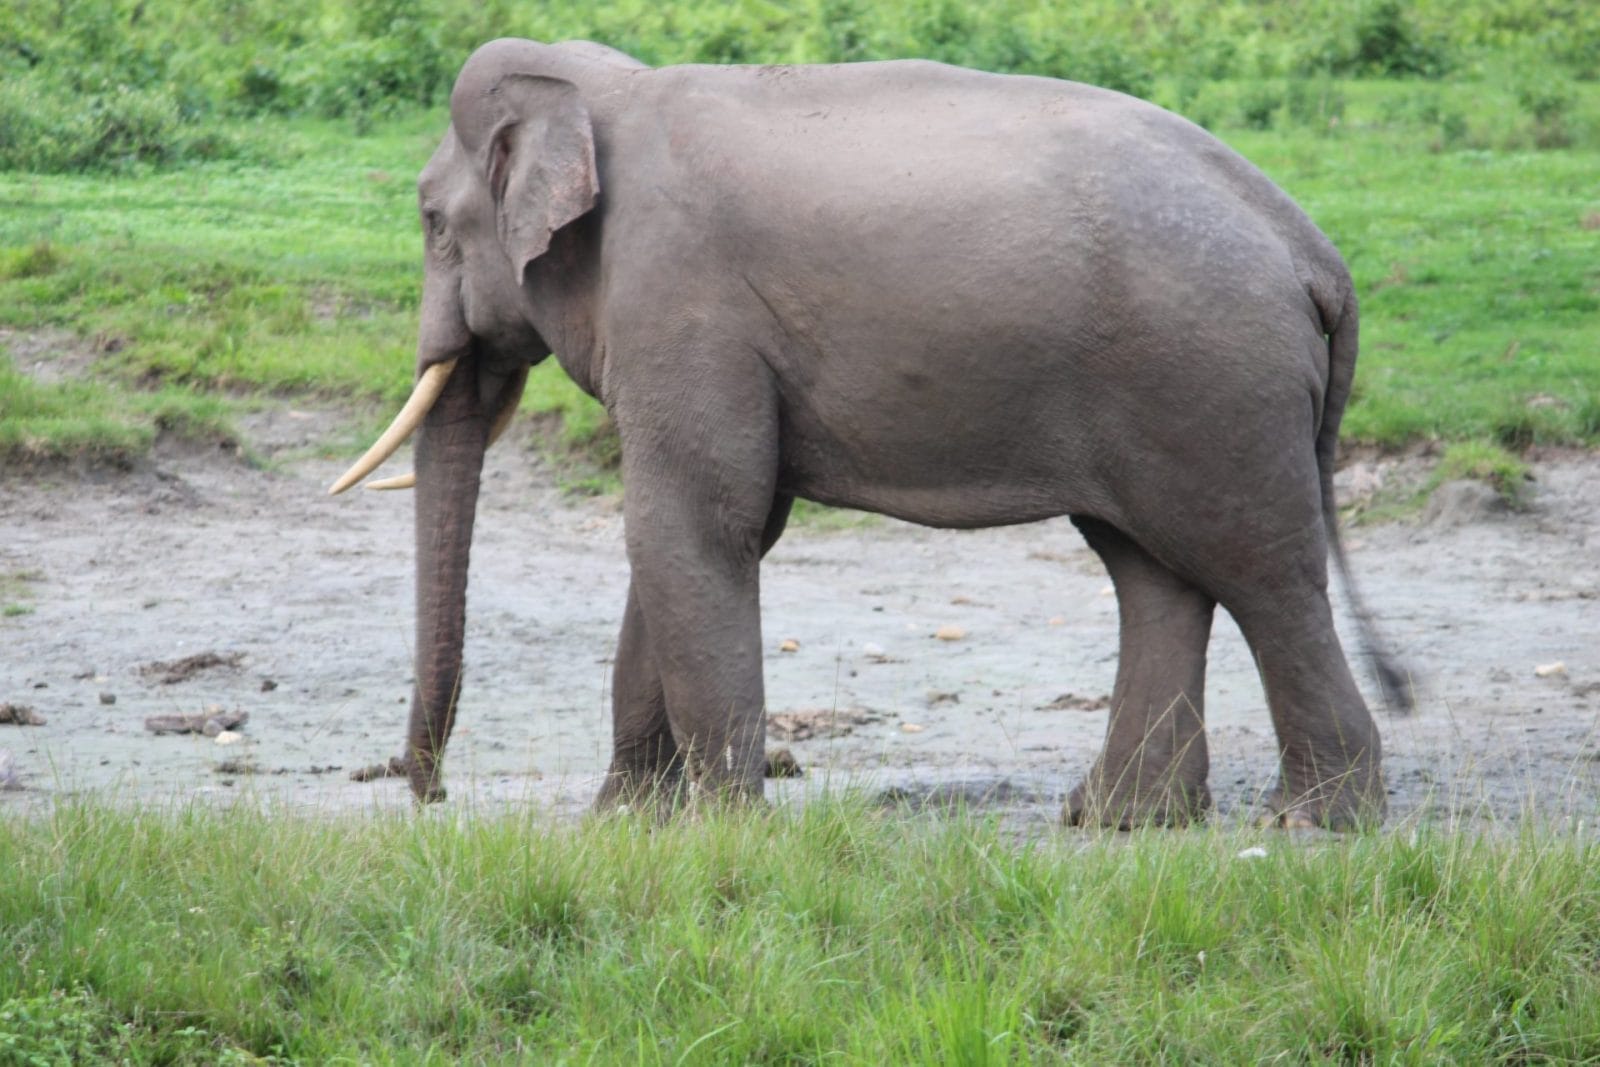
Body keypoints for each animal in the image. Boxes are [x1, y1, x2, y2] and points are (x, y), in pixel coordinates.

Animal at [329, 37, 1409, 830]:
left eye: (431, 222)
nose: (427, 795)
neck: (603, 88)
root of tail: (1312, 248)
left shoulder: (679, 299)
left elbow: (695, 523)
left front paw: (719, 829)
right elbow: (707, 526)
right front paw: (625, 823)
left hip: (1207, 374)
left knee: (1259, 572)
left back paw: (1311, 820)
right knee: (1154, 573)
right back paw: (1117, 819)